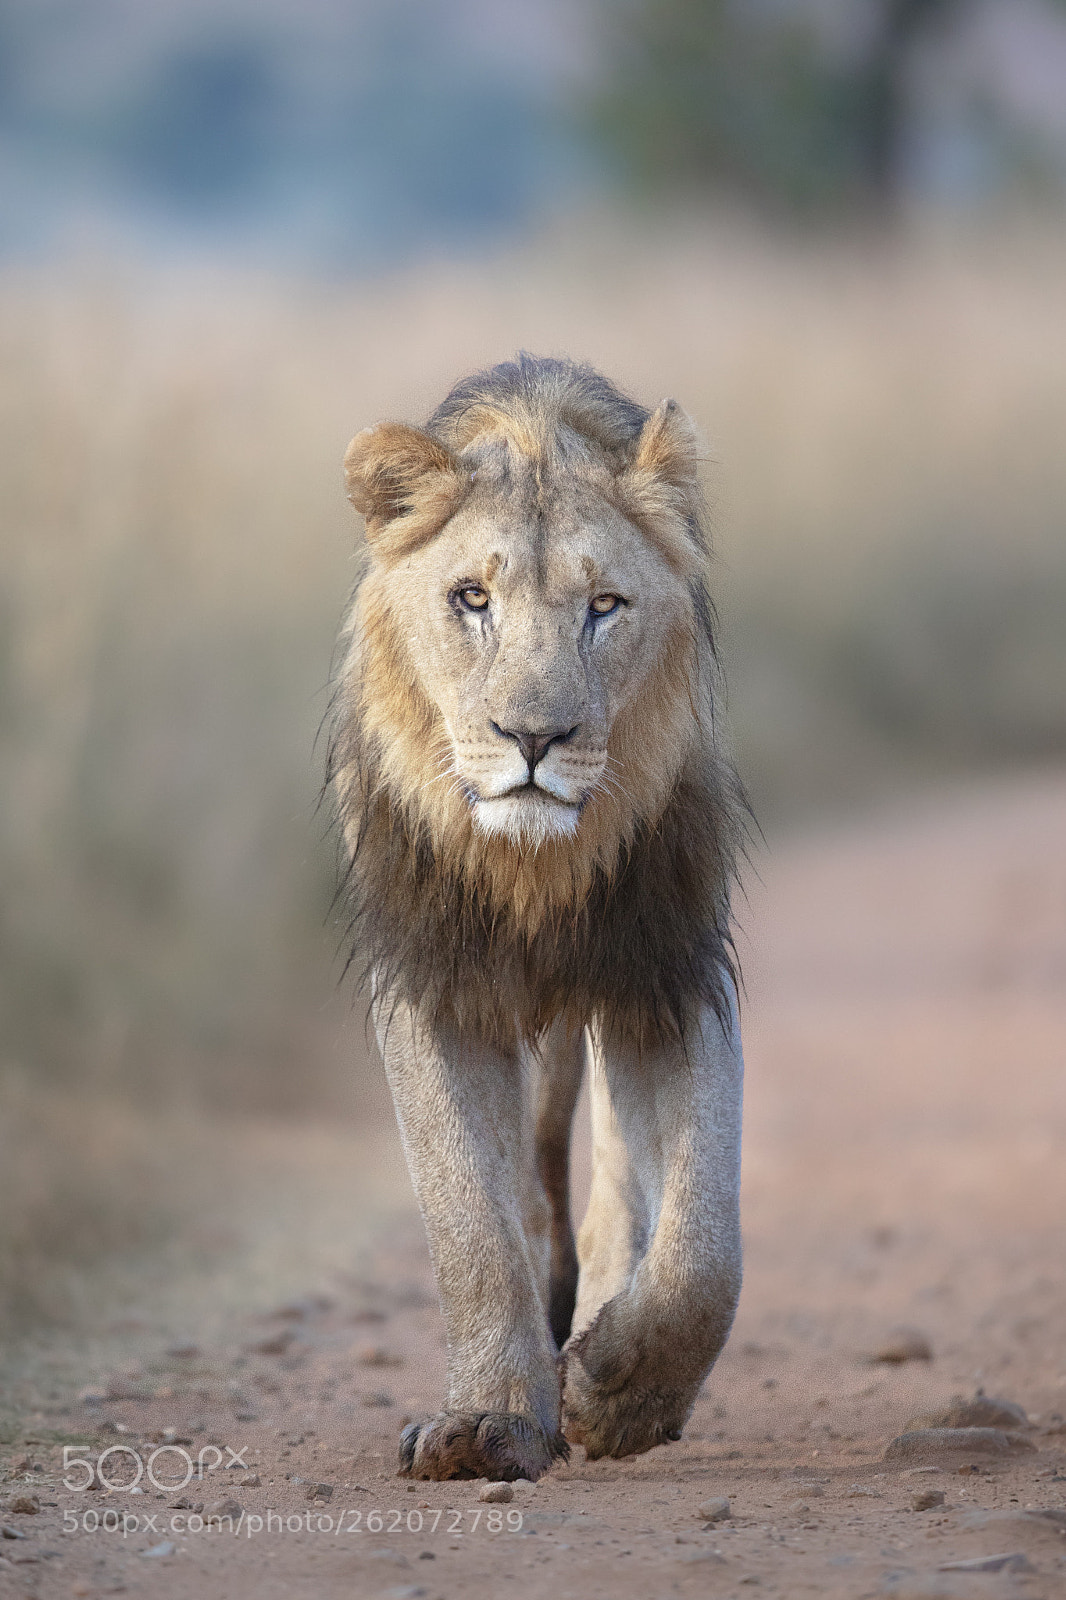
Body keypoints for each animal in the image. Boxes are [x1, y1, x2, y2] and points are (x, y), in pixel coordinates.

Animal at [328, 356, 742, 1478]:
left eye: (605, 605)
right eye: (471, 598)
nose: (532, 737)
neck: (536, 869)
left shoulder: (668, 973)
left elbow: (703, 1243)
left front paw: (622, 1391)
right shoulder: (430, 983)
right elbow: (470, 1225)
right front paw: (490, 1421)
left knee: (616, 1191)